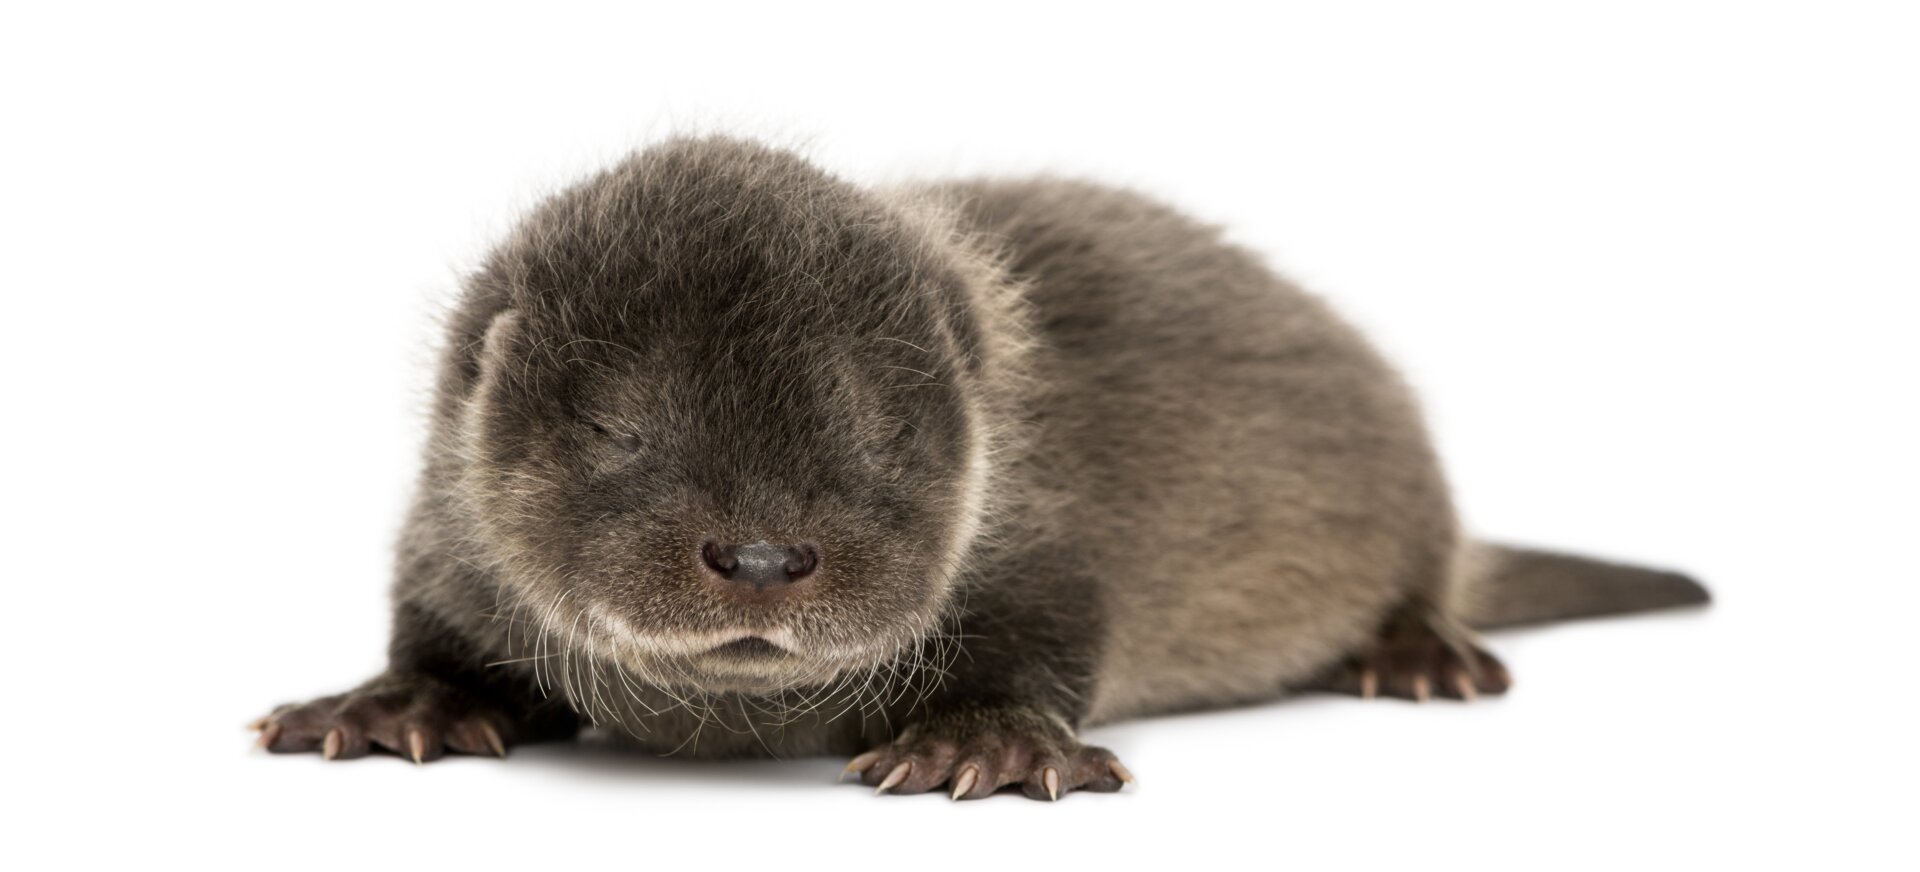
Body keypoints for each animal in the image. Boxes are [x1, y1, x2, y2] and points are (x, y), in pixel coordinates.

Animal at [253, 136, 1708, 800]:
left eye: (882, 432)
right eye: (619, 429)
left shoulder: (1035, 535)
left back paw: (1420, 653)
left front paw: (988, 740)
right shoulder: (447, 543)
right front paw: (394, 701)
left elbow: (1052, 633)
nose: (765, 555)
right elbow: (433, 632)